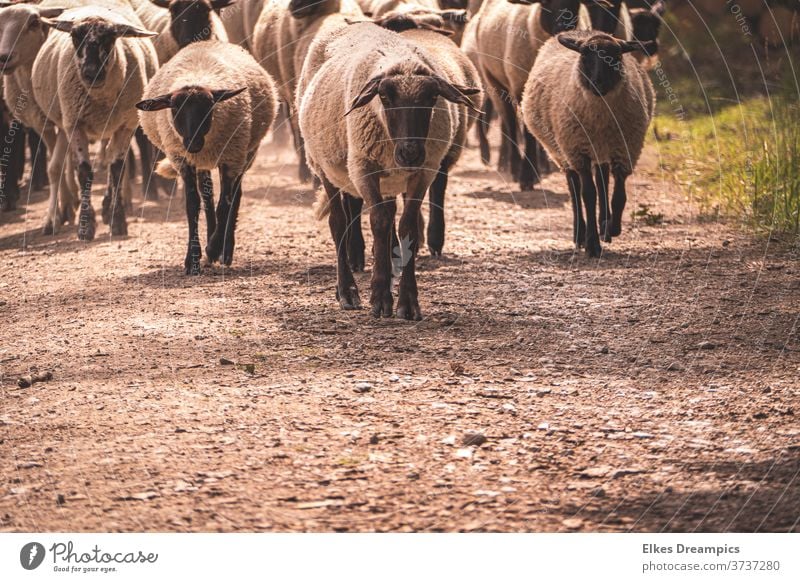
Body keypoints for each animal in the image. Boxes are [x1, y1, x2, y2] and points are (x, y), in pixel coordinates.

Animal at [31, 3, 159, 241]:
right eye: (74, 36)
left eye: (110, 37)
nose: (91, 73)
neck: (101, 99)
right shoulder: (75, 124)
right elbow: (84, 172)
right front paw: (85, 226)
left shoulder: (126, 124)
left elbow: (117, 169)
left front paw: (117, 221)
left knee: (112, 160)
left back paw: (108, 207)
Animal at [296, 22, 478, 322]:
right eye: (384, 96)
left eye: (431, 97)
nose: (410, 152)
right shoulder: (363, 168)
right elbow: (379, 221)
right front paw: (380, 298)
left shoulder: (423, 172)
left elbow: (408, 227)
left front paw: (407, 302)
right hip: (322, 164)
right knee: (338, 223)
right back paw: (347, 292)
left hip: (391, 179)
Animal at [520, 30, 656, 258]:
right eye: (584, 55)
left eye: (616, 56)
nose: (598, 83)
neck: (600, 116)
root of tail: (579, 31)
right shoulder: (578, 152)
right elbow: (588, 195)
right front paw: (592, 244)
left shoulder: (625, 151)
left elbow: (619, 196)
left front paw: (612, 228)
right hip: (562, 151)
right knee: (575, 189)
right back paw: (579, 234)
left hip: (601, 150)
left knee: (602, 181)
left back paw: (604, 225)